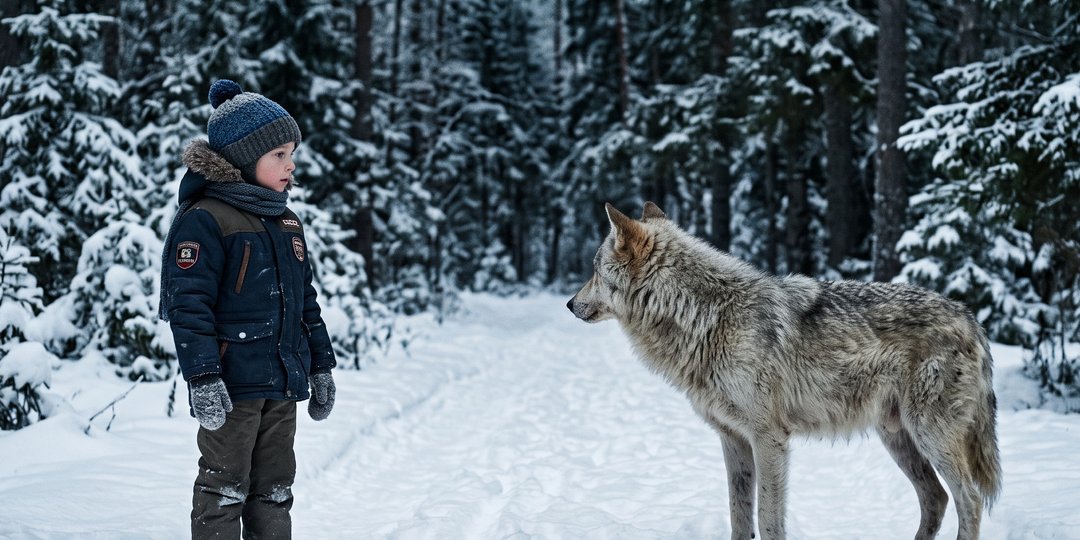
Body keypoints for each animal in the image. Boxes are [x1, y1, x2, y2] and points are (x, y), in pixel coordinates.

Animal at [567, 202, 1001, 540]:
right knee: (936, 498)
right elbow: (739, 517)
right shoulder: (732, 439)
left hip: (929, 435)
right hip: (897, 437)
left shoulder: (769, 438)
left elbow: (768, 520)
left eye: (594, 269)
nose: (570, 304)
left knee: (969, 500)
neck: (707, 317)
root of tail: (971, 318)